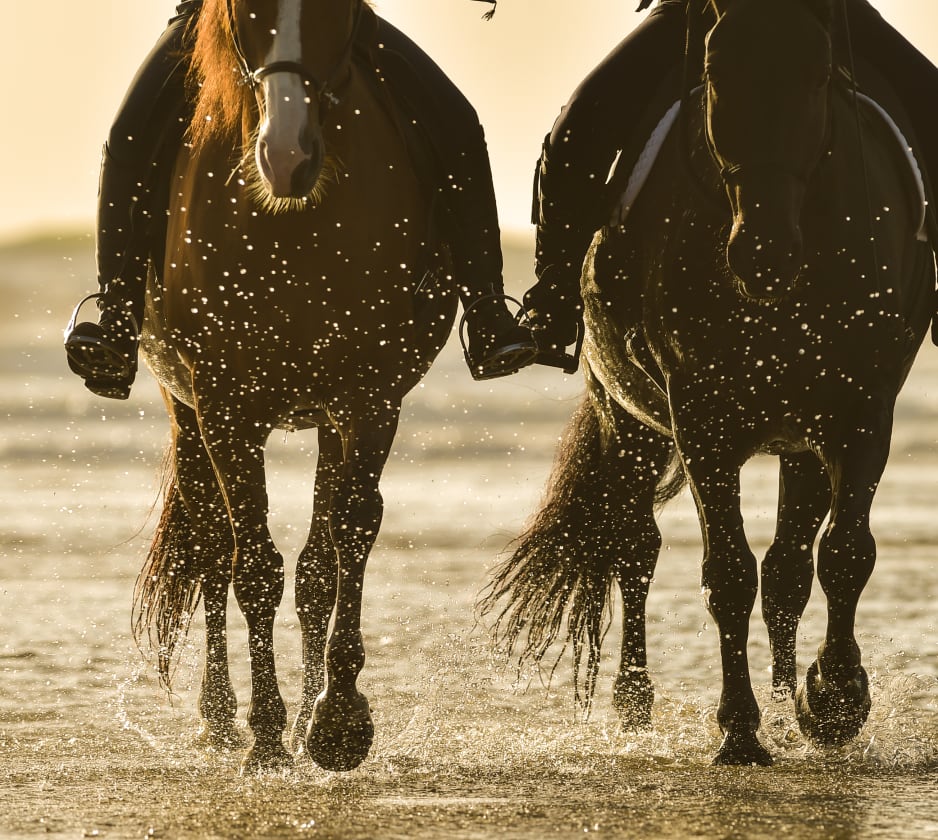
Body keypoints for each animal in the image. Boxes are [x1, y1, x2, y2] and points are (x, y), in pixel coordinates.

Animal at [132, 0, 457, 772]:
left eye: (335, 9)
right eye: (243, 10)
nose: (286, 157)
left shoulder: (368, 401)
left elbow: (347, 539)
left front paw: (336, 720)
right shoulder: (225, 407)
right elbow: (252, 565)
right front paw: (269, 736)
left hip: (325, 424)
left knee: (314, 566)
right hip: (186, 413)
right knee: (210, 551)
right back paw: (222, 721)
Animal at [480, 0, 935, 766]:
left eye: (818, 76)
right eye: (718, 73)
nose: (763, 252)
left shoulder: (862, 412)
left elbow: (844, 555)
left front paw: (832, 699)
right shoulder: (702, 419)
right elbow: (728, 572)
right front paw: (740, 729)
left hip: (799, 443)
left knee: (788, 573)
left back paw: (786, 702)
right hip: (628, 419)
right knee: (636, 550)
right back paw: (636, 703)